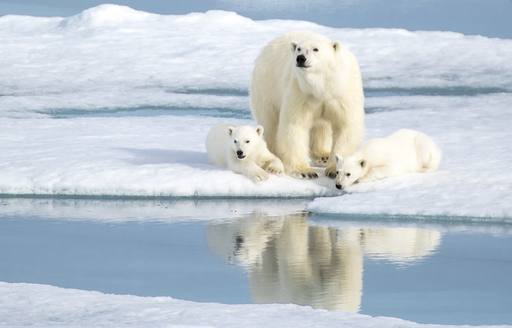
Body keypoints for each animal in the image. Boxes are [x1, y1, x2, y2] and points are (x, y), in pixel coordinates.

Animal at [251, 32, 364, 178]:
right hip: (267, 88)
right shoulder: (301, 92)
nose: (300, 58)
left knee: (321, 127)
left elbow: (345, 127)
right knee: (270, 124)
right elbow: (295, 126)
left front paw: (334, 170)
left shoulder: (342, 94)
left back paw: (323, 155)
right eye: (299, 49)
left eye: (316, 49)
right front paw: (305, 171)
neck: (322, 86)